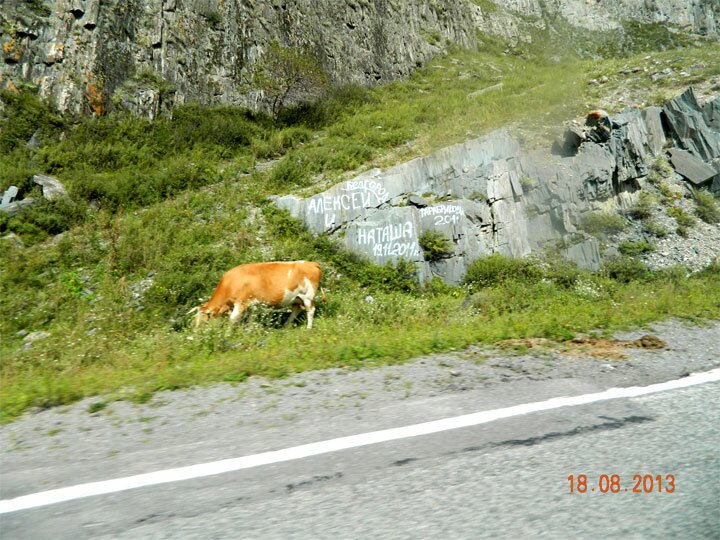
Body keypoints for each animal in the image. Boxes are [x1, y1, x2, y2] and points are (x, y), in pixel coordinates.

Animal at [191, 260, 326, 330]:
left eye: (203, 322)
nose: (197, 335)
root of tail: (312, 263)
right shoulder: (252, 305)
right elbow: (251, 319)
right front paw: (249, 331)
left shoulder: (241, 303)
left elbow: (232, 319)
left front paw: (227, 335)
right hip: (296, 298)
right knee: (296, 310)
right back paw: (286, 326)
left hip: (307, 296)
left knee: (310, 310)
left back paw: (308, 328)